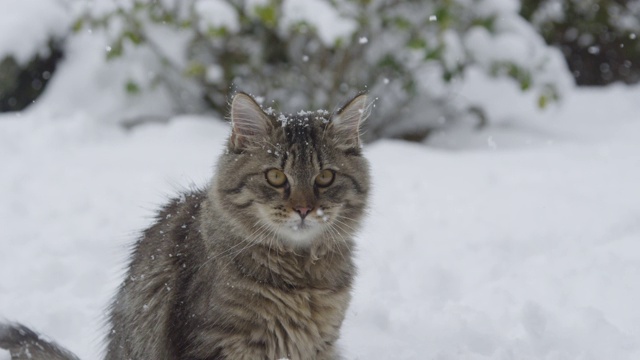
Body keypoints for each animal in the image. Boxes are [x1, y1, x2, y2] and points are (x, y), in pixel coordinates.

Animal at [0, 91, 372, 358]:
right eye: (276, 177)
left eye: (325, 177)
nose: (304, 209)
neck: (300, 276)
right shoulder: (215, 341)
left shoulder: (320, 343)